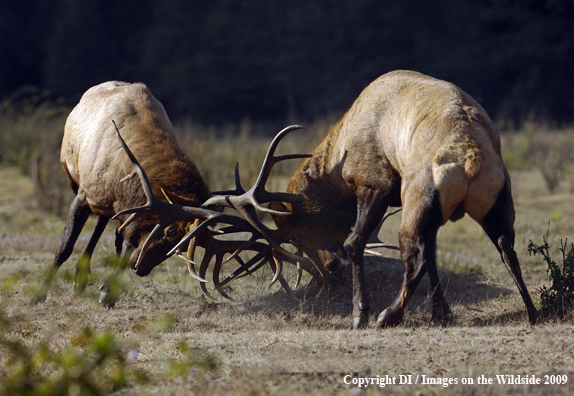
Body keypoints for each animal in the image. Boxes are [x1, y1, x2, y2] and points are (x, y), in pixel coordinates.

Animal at [268, 70, 540, 328]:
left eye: (297, 232)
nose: (330, 264)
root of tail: (470, 156)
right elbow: (433, 254)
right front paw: (441, 313)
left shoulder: (375, 185)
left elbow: (356, 242)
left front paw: (360, 312)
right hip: (494, 203)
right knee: (507, 250)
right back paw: (532, 312)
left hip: (415, 197)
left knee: (413, 257)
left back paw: (388, 314)